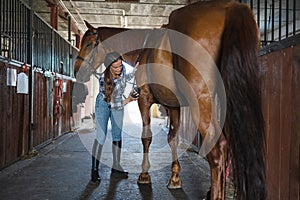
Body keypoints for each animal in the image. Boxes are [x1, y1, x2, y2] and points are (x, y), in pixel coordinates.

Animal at [74, 1, 266, 198]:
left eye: (89, 44)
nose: (77, 71)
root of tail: (230, 7)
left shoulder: (144, 100)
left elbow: (146, 137)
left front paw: (144, 175)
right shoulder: (173, 106)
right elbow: (172, 138)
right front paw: (174, 178)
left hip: (202, 103)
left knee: (218, 148)